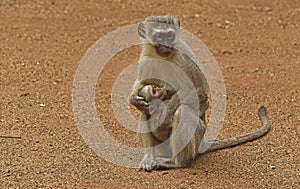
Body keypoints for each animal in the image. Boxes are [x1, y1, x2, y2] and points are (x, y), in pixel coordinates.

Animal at [129, 15, 270, 171]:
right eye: (159, 36)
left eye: (170, 36)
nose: (167, 46)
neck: (163, 58)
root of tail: (202, 142)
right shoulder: (145, 62)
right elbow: (143, 83)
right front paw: (134, 98)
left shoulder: (183, 58)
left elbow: (198, 89)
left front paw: (164, 119)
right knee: (145, 113)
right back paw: (149, 158)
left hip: (198, 134)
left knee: (182, 111)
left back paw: (176, 162)